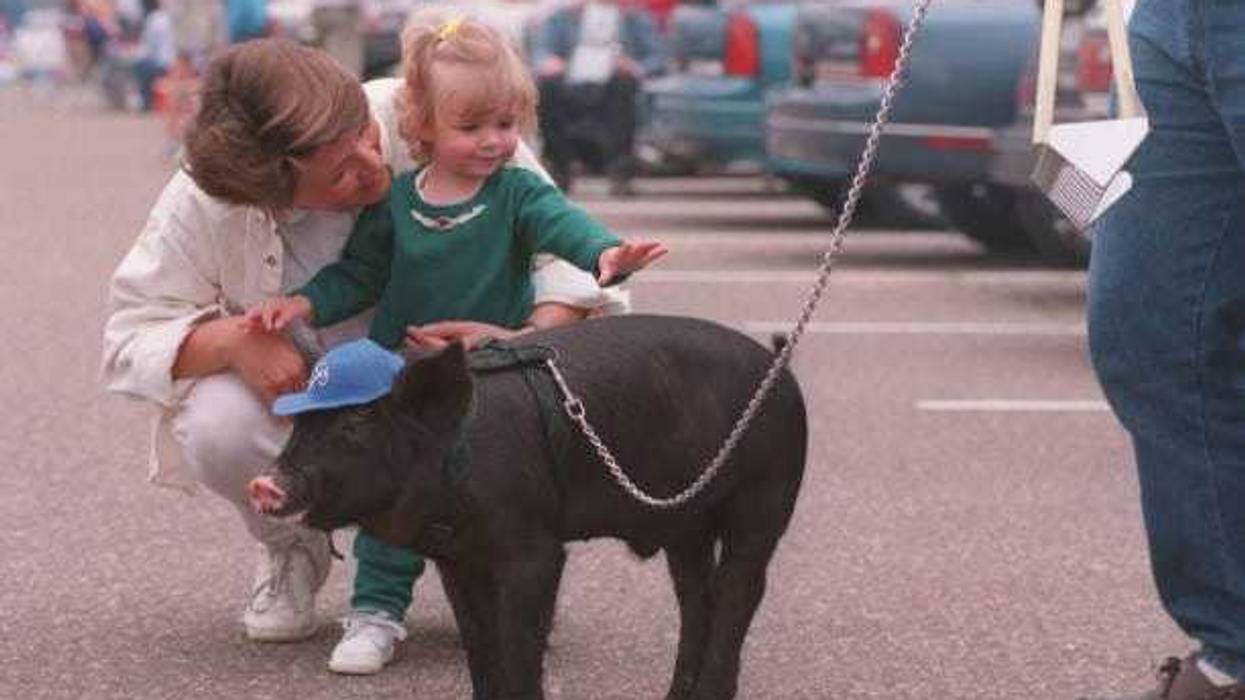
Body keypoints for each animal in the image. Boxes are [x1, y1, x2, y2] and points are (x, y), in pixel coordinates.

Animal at [249, 314, 807, 700]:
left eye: (356, 425)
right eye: (301, 423)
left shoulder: (534, 551)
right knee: (695, 597)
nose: (264, 484)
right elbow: (481, 644)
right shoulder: (458, 559)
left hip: (767, 497)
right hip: (686, 525)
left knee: (739, 587)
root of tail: (779, 369)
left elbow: (519, 647)